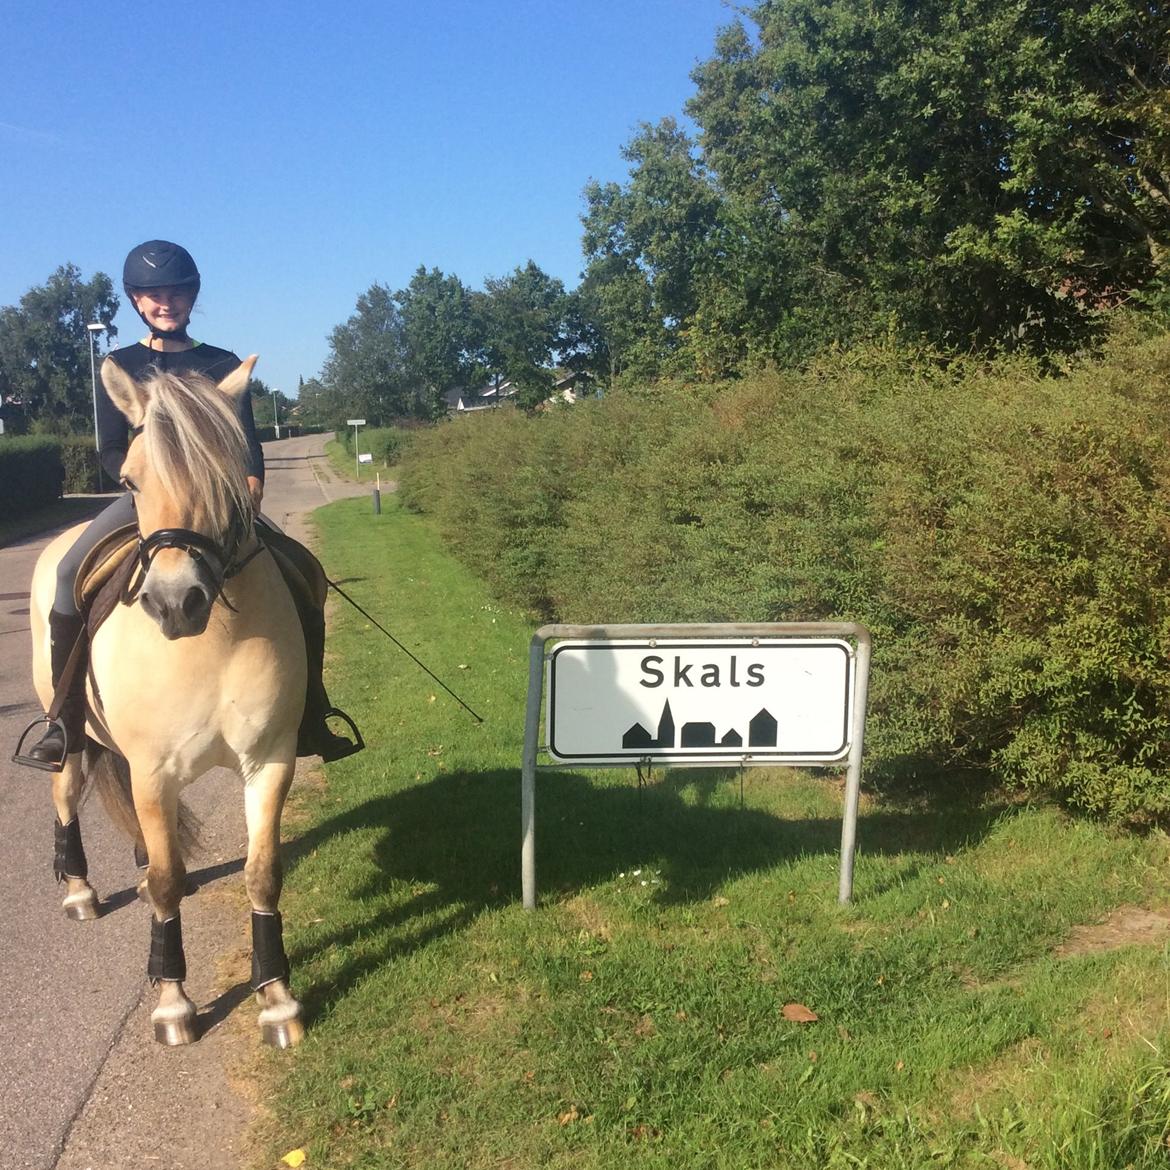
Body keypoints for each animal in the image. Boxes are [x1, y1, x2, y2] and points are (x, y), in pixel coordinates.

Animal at [29, 358, 308, 1053]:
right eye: (130, 478)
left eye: (228, 476)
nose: (175, 601)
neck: (211, 642)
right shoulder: (153, 771)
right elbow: (166, 883)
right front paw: (173, 1003)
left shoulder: (269, 761)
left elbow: (262, 872)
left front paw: (277, 1001)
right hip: (71, 734)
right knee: (65, 792)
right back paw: (79, 889)